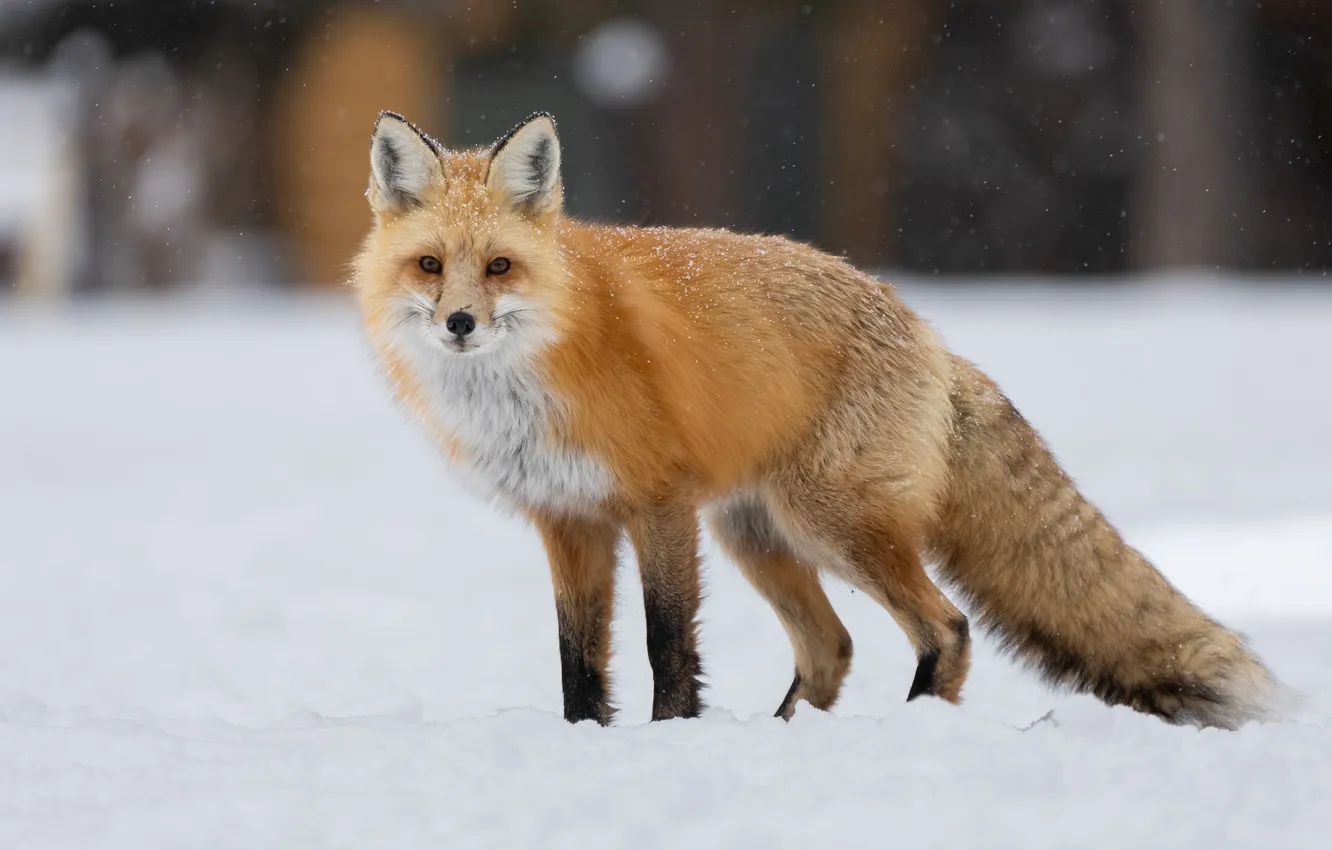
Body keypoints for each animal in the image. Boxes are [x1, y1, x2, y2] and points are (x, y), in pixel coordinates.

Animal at [351, 109, 1283, 730]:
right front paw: (588, 740)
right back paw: (784, 733)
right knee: (831, 648)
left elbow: (665, 646)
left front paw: (670, 737)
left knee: (945, 626)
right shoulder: (568, 517)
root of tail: (931, 333)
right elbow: (578, 661)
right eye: (430, 265)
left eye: (498, 267)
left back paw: (911, 728)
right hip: (757, 533)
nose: (458, 324)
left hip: (828, 520)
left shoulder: (657, 504)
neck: (530, 375)